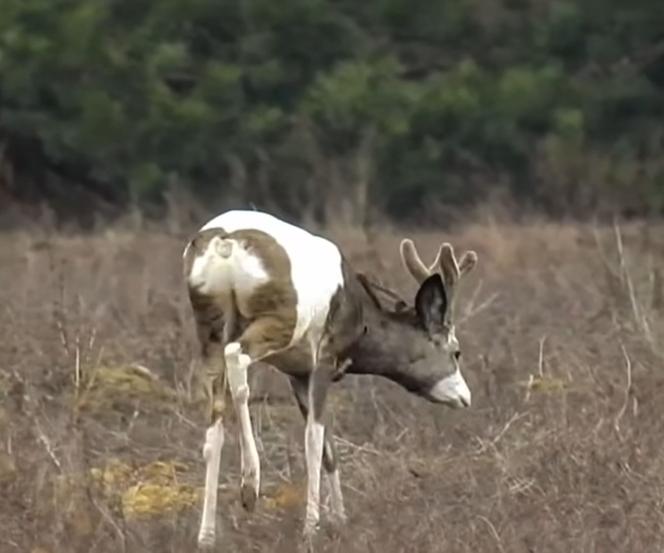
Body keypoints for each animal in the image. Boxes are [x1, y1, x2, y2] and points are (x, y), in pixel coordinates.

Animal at [182, 207, 478, 548]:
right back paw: (250, 486)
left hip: (209, 324)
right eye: (457, 352)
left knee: (213, 431)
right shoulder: (323, 357)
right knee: (237, 357)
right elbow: (314, 439)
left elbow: (330, 451)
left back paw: (206, 535)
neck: (360, 323)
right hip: (281, 318)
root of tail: (226, 241)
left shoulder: (297, 373)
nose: (465, 396)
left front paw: (340, 520)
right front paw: (312, 527)